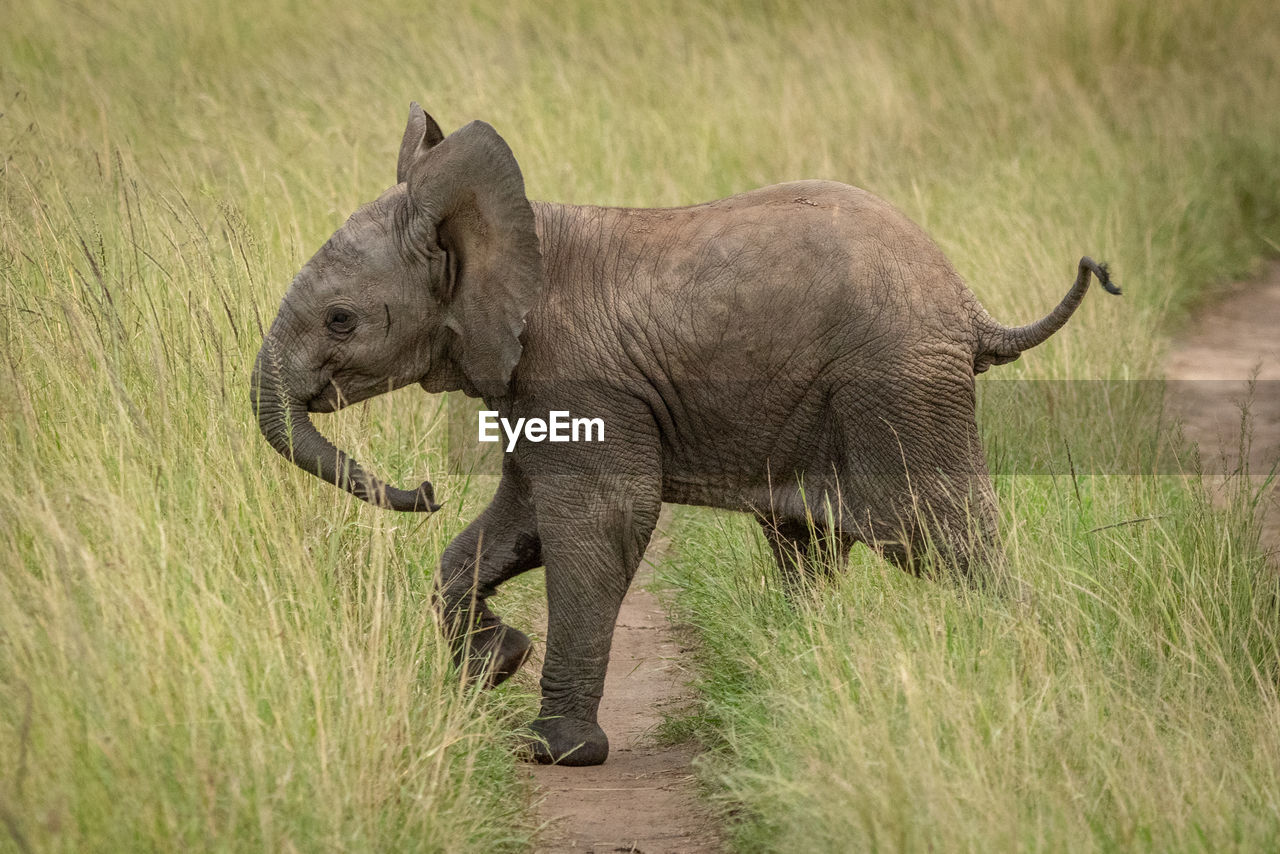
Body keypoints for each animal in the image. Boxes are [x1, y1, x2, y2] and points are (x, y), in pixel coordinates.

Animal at [249, 101, 1121, 768]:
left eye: (341, 320)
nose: (423, 491)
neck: (514, 227)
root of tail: (970, 306)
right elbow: (514, 525)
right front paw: (498, 663)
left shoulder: (580, 378)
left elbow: (603, 519)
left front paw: (554, 752)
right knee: (811, 547)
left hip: (898, 388)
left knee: (943, 541)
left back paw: (1029, 661)